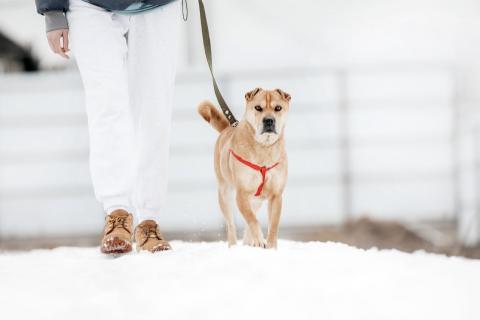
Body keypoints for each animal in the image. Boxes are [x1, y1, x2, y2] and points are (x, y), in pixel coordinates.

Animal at [197, 88, 290, 250]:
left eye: (278, 108)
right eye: (258, 107)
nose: (269, 120)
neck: (264, 147)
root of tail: (228, 128)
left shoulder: (276, 195)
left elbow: (273, 224)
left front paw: (271, 247)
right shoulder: (241, 194)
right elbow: (252, 219)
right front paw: (259, 240)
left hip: (257, 200)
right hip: (225, 193)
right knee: (231, 224)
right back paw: (234, 246)